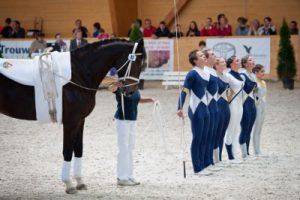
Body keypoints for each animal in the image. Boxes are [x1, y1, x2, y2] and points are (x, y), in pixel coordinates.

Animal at [0, 38, 146, 194]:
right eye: (137, 62)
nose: (130, 92)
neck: (79, 74)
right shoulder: (70, 122)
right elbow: (68, 151)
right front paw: (69, 184)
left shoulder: (80, 120)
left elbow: (79, 149)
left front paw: (80, 182)